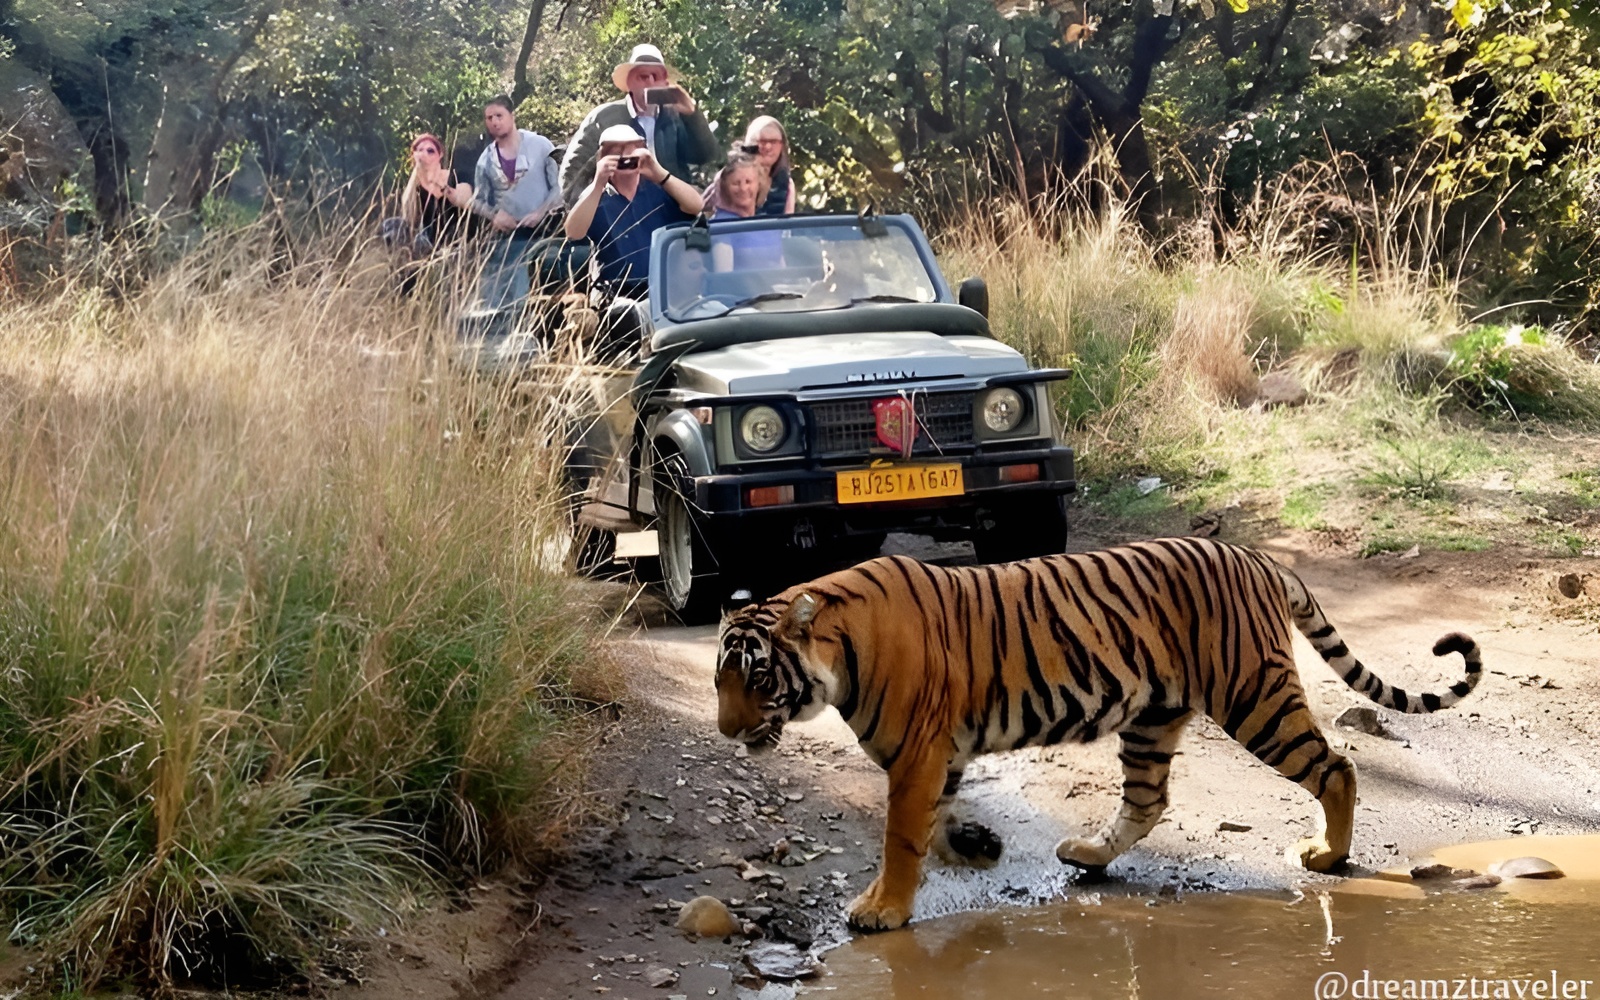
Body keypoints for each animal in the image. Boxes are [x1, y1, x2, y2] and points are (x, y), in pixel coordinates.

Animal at [716, 534, 1484, 934]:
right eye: (720, 681)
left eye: (758, 677)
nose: (727, 730)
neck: (837, 654)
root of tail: (1257, 557)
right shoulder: (939, 754)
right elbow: (934, 824)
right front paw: (976, 846)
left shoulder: (917, 755)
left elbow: (901, 838)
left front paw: (882, 909)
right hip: (1153, 717)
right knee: (1147, 801)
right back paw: (1087, 854)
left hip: (1254, 697)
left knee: (1335, 766)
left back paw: (1329, 855)